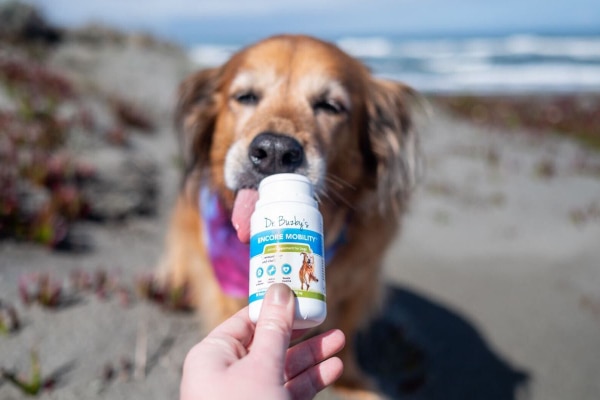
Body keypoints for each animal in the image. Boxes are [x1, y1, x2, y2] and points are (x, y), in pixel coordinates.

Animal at [162, 35, 420, 396]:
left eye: (330, 106)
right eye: (246, 96)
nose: (274, 150)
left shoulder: (360, 279)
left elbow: (348, 331)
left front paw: (354, 384)